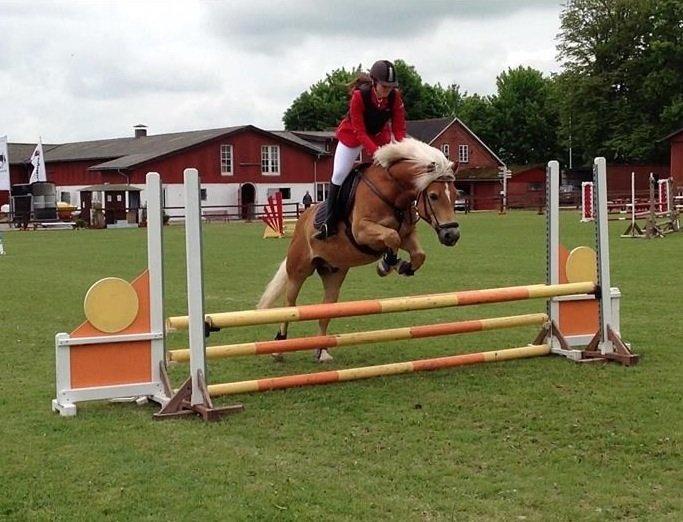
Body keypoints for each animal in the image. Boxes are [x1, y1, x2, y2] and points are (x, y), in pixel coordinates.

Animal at [260, 137, 462, 362]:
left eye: (455, 194)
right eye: (434, 196)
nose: (452, 235)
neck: (392, 192)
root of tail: (302, 220)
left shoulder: (407, 235)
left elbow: (417, 253)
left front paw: (401, 266)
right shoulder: (362, 231)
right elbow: (391, 237)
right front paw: (386, 264)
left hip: (333, 273)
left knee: (326, 308)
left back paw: (322, 351)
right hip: (298, 271)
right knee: (289, 305)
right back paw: (279, 347)